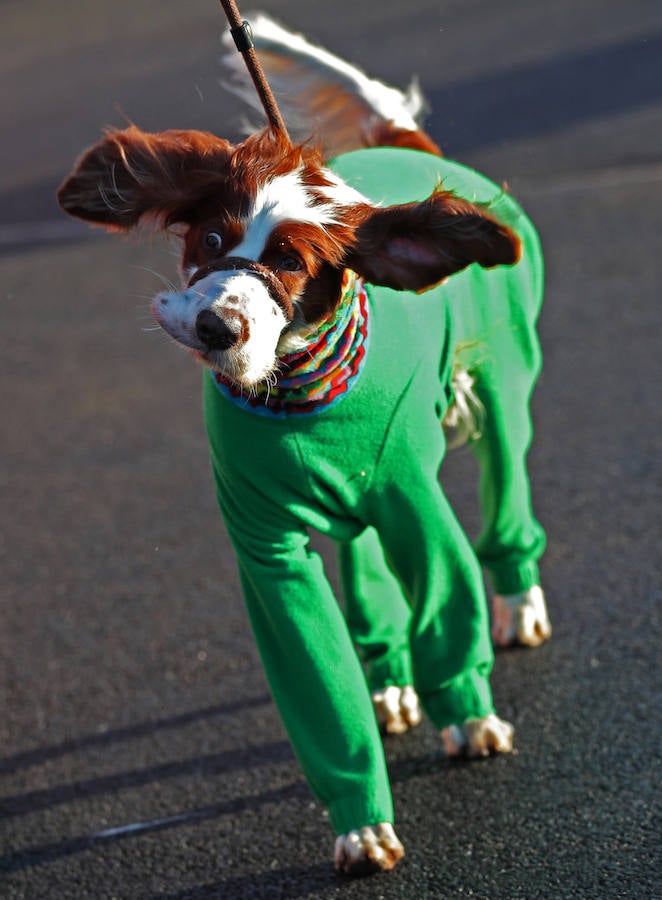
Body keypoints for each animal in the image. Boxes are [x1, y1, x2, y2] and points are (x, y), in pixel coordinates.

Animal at [57, 12, 552, 872]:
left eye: (292, 262)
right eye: (211, 237)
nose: (217, 325)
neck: (296, 402)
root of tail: (408, 147)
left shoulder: (416, 511)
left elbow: (449, 613)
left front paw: (469, 717)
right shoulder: (266, 551)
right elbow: (318, 680)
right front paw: (361, 824)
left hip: (502, 386)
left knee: (505, 500)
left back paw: (519, 602)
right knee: (363, 569)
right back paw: (388, 683)